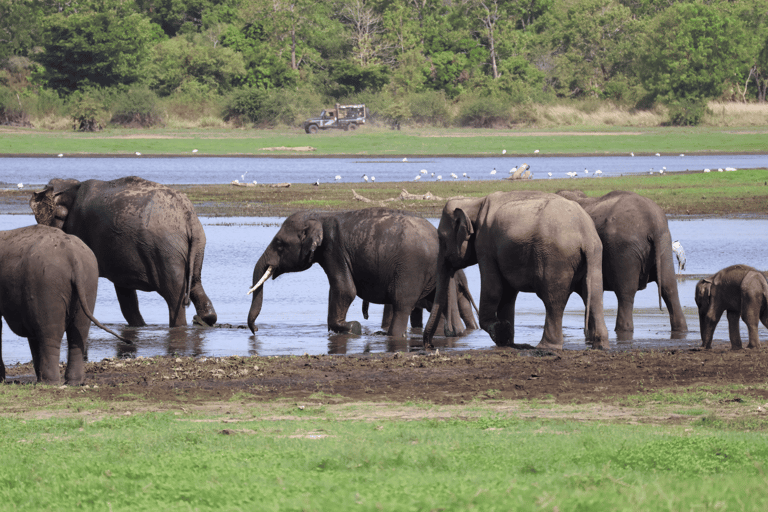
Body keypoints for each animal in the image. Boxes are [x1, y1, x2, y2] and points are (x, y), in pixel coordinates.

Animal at [0, 225, 126, 384]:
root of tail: (73, 256)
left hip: (47, 284)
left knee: (50, 333)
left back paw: (49, 382)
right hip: (88, 281)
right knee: (79, 330)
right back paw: (73, 382)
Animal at [30, 176, 217, 328]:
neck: (72, 185)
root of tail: (188, 217)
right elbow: (124, 290)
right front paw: (139, 326)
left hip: (165, 251)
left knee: (174, 294)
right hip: (197, 246)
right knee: (195, 284)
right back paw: (205, 319)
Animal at [247, 208, 477, 338]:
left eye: (279, 243)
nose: (256, 330)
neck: (320, 215)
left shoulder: (333, 249)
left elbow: (345, 290)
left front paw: (352, 327)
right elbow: (336, 290)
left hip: (411, 269)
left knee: (402, 304)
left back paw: (390, 336)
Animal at [423, 191, 609, 350]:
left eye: (441, 238)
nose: (429, 346)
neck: (474, 202)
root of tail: (586, 234)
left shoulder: (485, 245)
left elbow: (494, 289)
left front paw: (501, 332)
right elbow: (508, 294)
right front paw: (507, 339)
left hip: (555, 259)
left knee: (553, 300)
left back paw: (545, 347)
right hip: (594, 257)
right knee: (594, 294)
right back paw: (600, 345)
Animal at [557, 190, 687, 336]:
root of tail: (652, 222)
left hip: (624, 248)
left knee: (626, 293)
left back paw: (622, 330)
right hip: (664, 244)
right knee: (669, 287)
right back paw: (681, 329)